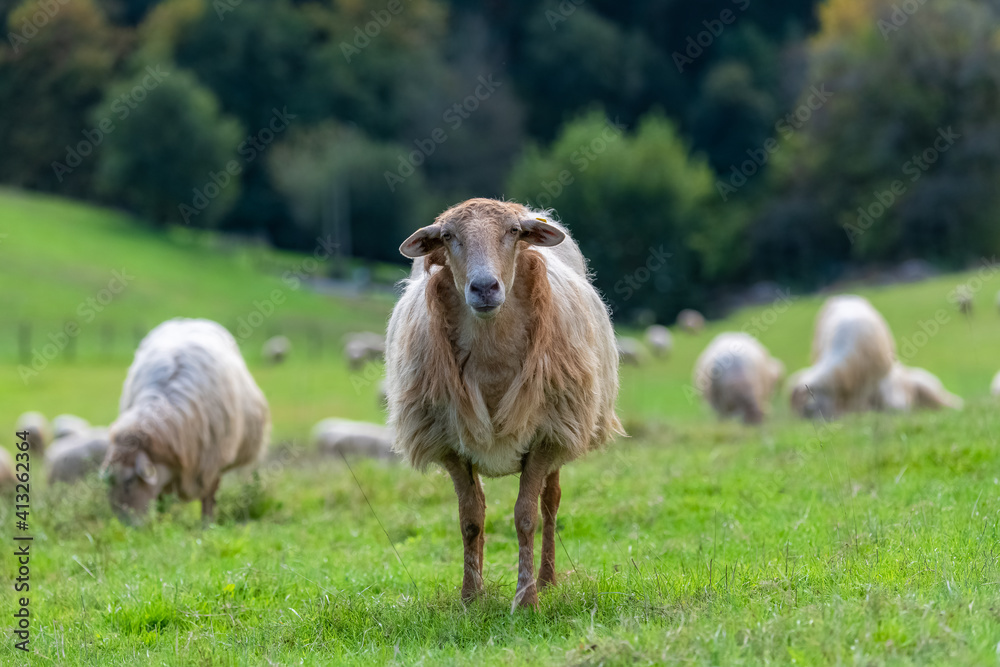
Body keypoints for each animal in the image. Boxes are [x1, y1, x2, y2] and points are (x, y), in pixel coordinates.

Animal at [102, 318, 271, 521]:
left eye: (129, 481)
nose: (125, 524)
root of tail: (189, 321)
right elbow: (160, 497)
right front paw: (161, 522)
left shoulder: (211, 462)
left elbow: (208, 496)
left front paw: (207, 524)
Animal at [385, 199, 623, 608]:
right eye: (447, 236)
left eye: (513, 232)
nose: (484, 287)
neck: (492, 360)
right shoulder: (451, 445)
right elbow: (470, 519)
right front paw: (470, 596)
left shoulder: (546, 436)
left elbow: (526, 516)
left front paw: (526, 599)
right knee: (480, 505)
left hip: (564, 427)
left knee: (551, 501)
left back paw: (547, 579)